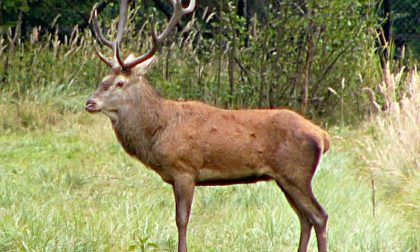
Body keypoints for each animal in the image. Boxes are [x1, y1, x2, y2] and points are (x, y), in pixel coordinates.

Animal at [85, 0, 332, 252]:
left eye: (120, 83)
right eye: (103, 79)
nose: (90, 102)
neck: (158, 131)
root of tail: (323, 136)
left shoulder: (185, 169)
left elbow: (181, 219)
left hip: (296, 174)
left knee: (319, 216)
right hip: (286, 178)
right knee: (304, 218)